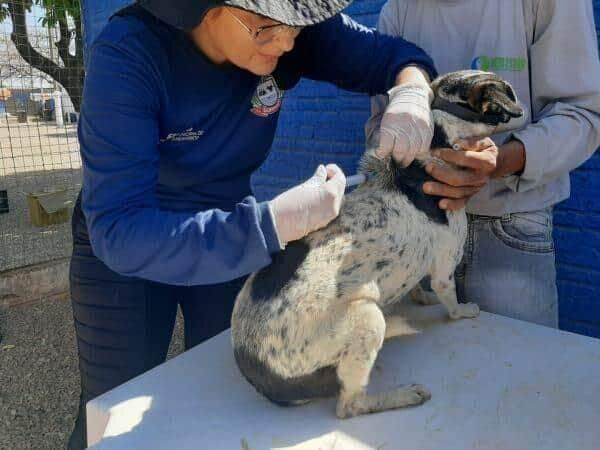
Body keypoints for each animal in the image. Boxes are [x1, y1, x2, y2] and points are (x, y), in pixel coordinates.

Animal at [230, 69, 524, 418]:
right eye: (507, 92)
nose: (523, 108)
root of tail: (257, 372)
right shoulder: (444, 269)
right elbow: (450, 302)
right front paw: (463, 311)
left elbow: (418, 285)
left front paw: (421, 297)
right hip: (367, 319)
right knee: (349, 406)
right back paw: (402, 395)